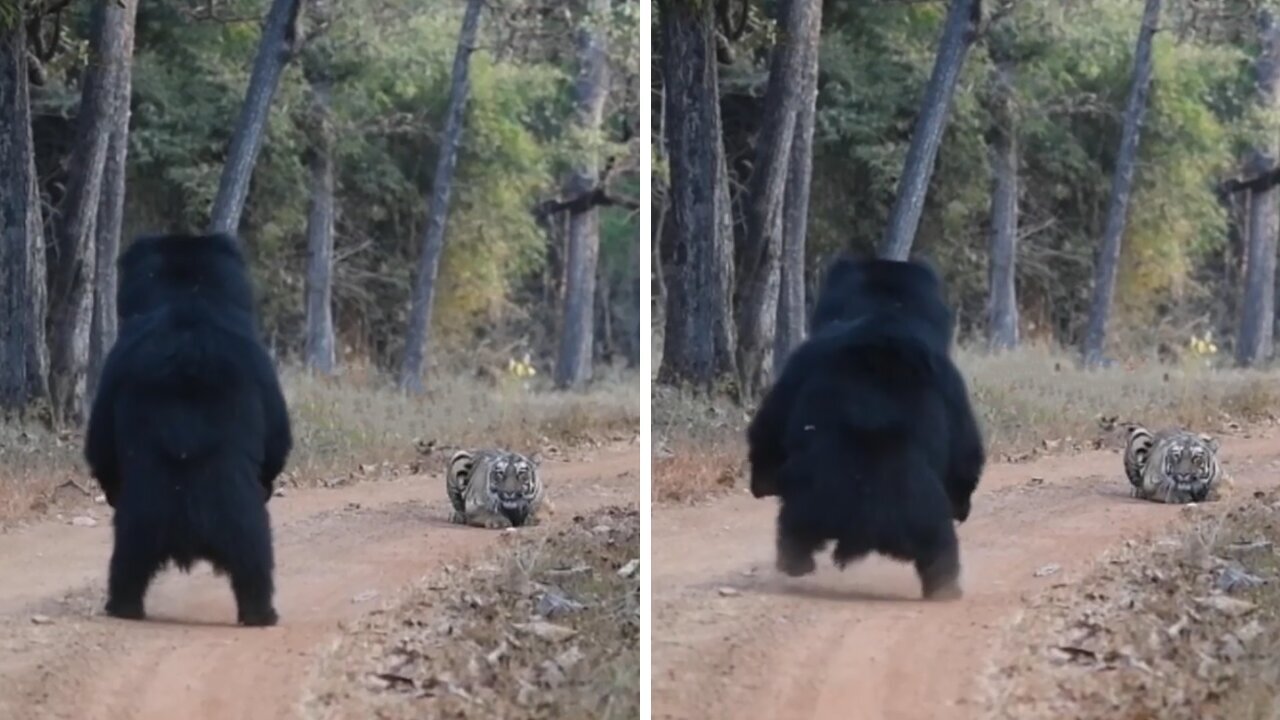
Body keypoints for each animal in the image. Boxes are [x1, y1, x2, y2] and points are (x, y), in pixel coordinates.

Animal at [87, 230, 293, 622]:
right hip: (230, 517)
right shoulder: (260, 363)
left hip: (146, 518)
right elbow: (277, 436)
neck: (187, 296)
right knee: (257, 562)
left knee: (128, 564)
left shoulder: (116, 364)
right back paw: (262, 613)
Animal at [747, 254, 983, 597]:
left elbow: (770, 427)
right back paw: (945, 587)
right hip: (915, 510)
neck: (882, 308)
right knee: (942, 549)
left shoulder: (803, 361)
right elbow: (966, 452)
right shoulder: (950, 382)